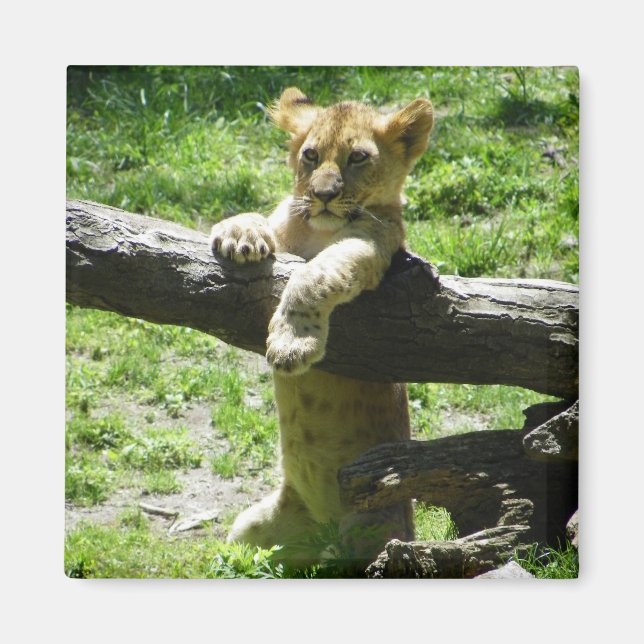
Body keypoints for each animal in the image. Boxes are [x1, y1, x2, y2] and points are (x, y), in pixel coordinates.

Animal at [210, 87, 433, 572]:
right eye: (310, 155)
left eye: (358, 158)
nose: (323, 194)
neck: (317, 229)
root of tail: (322, 532)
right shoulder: (285, 224)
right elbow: (261, 213)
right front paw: (239, 235)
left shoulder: (372, 249)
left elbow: (314, 274)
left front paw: (292, 344)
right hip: (253, 527)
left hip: (376, 526)